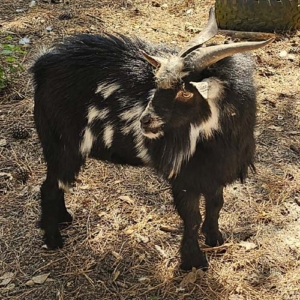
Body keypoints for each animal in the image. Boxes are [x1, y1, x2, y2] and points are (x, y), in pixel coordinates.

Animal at [31, 8, 274, 270]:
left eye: (186, 92)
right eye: (156, 84)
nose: (145, 121)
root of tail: (42, 66)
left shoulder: (215, 173)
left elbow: (216, 205)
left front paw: (215, 239)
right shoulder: (184, 176)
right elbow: (192, 218)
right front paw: (194, 261)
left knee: (56, 184)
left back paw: (64, 219)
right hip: (63, 145)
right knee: (49, 187)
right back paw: (54, 240)